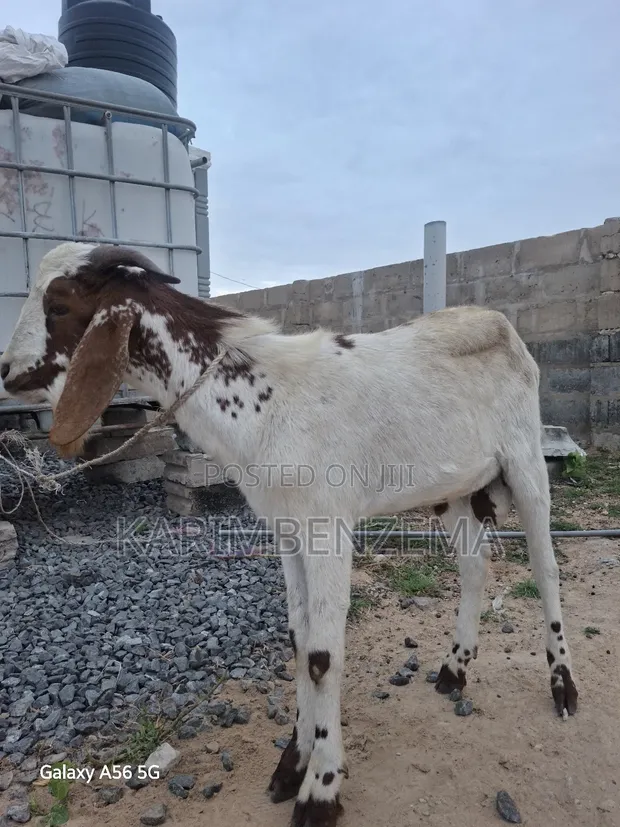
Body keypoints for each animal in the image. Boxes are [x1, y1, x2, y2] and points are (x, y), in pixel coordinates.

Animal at [0, 242, 578, 827]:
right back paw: (454, 670)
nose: (7, 372)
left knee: (546, 568)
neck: (263, 400)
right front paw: (291, 765)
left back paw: (563, 687)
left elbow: (322, 655)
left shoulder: (327, 527)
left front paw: (320, 792)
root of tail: (499, 323)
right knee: (474, 567)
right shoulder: (286, 529)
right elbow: (299, 640)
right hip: (456, 489)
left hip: (526, 462)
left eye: (59, 304)